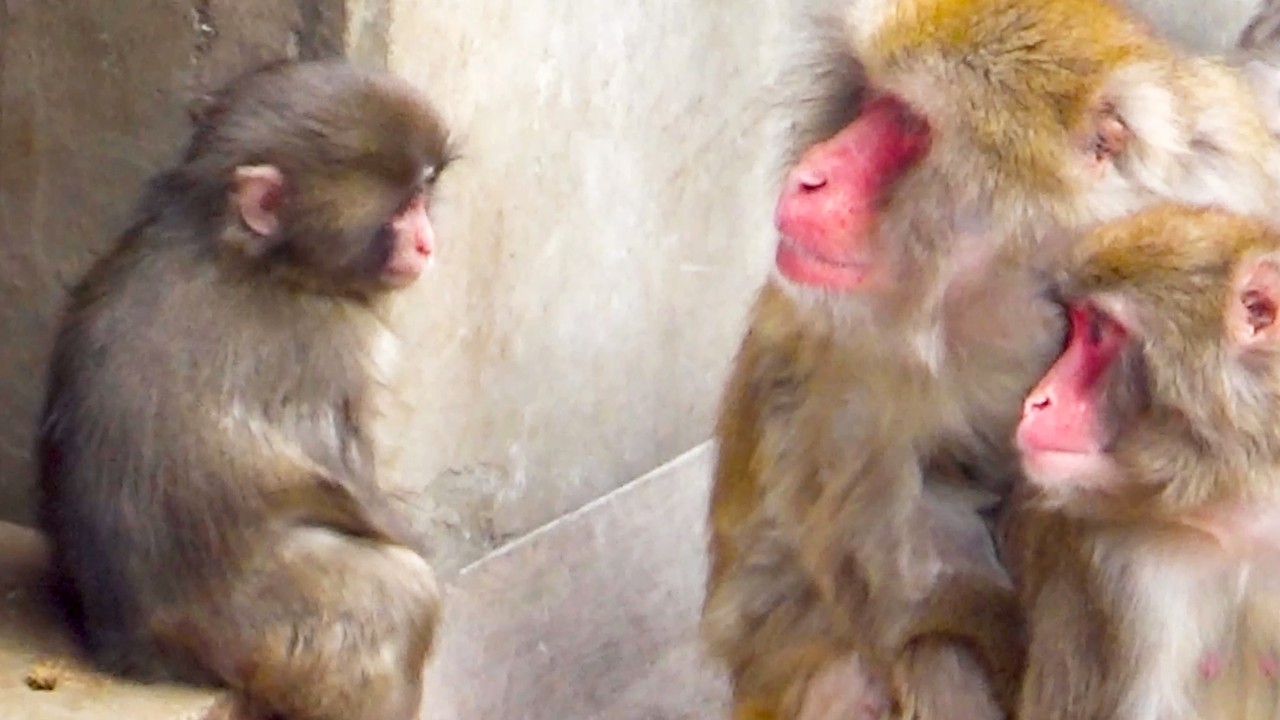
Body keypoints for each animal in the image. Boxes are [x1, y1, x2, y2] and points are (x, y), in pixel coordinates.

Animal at [35, 59, 451, 720]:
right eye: (405, 205)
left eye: (423, 198)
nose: (425, 242)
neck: (251, 254)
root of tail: (144, 655)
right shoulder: (334, 342)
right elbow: (352, 484)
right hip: (269, 638)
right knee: (405, 596)